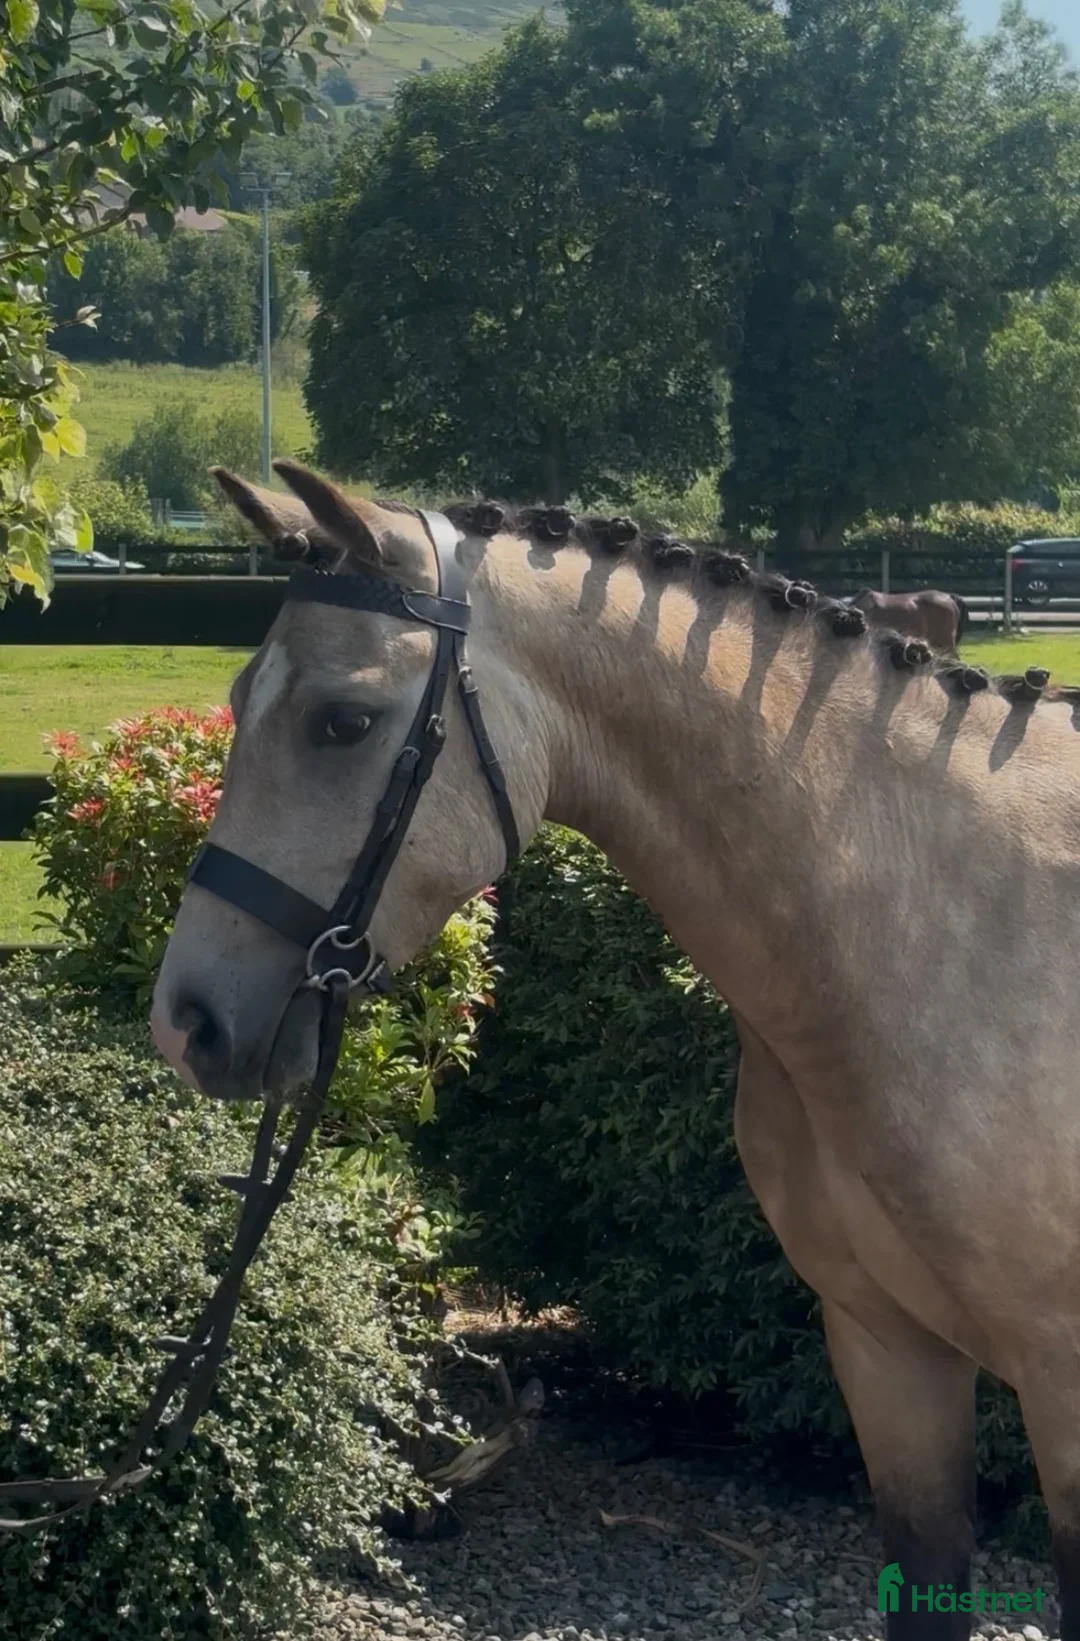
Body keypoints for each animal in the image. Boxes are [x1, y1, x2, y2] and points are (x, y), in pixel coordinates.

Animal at [153, 463, 1080, 1641]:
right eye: (237, 700)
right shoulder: (889, 1352)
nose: (186, 1020)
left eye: (343, 721)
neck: (941, 914)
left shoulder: (1064, 1387)